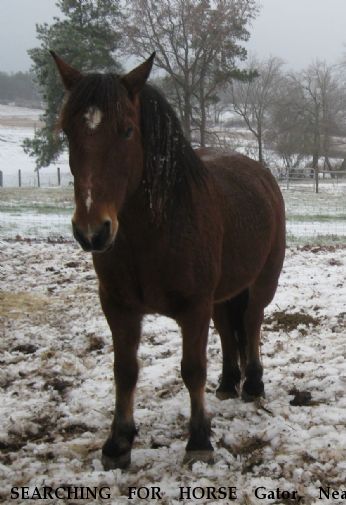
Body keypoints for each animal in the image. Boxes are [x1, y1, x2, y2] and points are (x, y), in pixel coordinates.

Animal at [50, 51, 284, 468]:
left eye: (127, 130)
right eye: (66, 131)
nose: (92, 231)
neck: (155, 232)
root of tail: (262, 174)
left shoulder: (194, 307)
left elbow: (192, 369)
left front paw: (199, 440)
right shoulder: (118, 306)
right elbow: (125, 370)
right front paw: (118, 443)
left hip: (262, 282)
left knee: (252, 322)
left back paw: (253, 384)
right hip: (222, 294)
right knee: (228, 329)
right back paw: (228, 383)